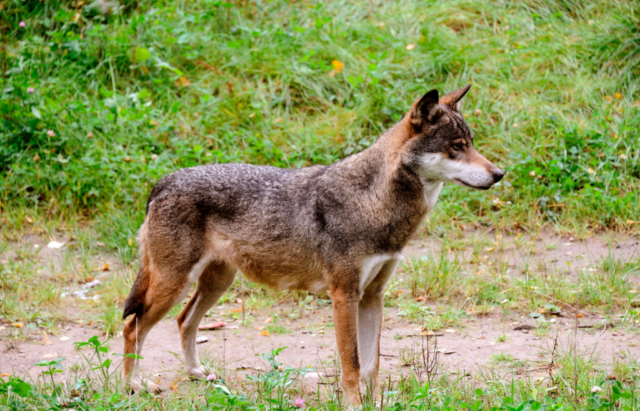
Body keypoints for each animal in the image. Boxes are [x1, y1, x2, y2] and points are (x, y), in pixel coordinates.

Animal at [121, 85, 504, 408]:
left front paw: (375, 403)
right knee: (132, 326)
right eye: (457, 147)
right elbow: (351, 363)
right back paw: (133, 386)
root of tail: (162, 182)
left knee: (184, 321)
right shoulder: (344, 295)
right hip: (174, 284)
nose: (499, 174)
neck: (375, 201)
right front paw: (353, 405)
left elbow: (372, 365)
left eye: (471, 143)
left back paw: (196, 374)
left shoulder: (372, 297)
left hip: (216, 283)